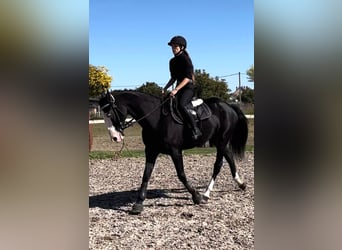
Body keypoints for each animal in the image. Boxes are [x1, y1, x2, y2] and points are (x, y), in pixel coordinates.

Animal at [97, 91, 247, 214]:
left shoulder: (175, 151)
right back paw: (241, 183)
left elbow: (181, 175)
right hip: (219, 141)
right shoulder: (151, 151)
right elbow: (146, 175)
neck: (157, 119)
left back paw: (206, 194)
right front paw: (138, 203)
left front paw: (196, 196)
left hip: (221, 141)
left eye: (109, 113)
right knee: (229, 157)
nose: (115, 137)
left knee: (218, 165)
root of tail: (227, 106)